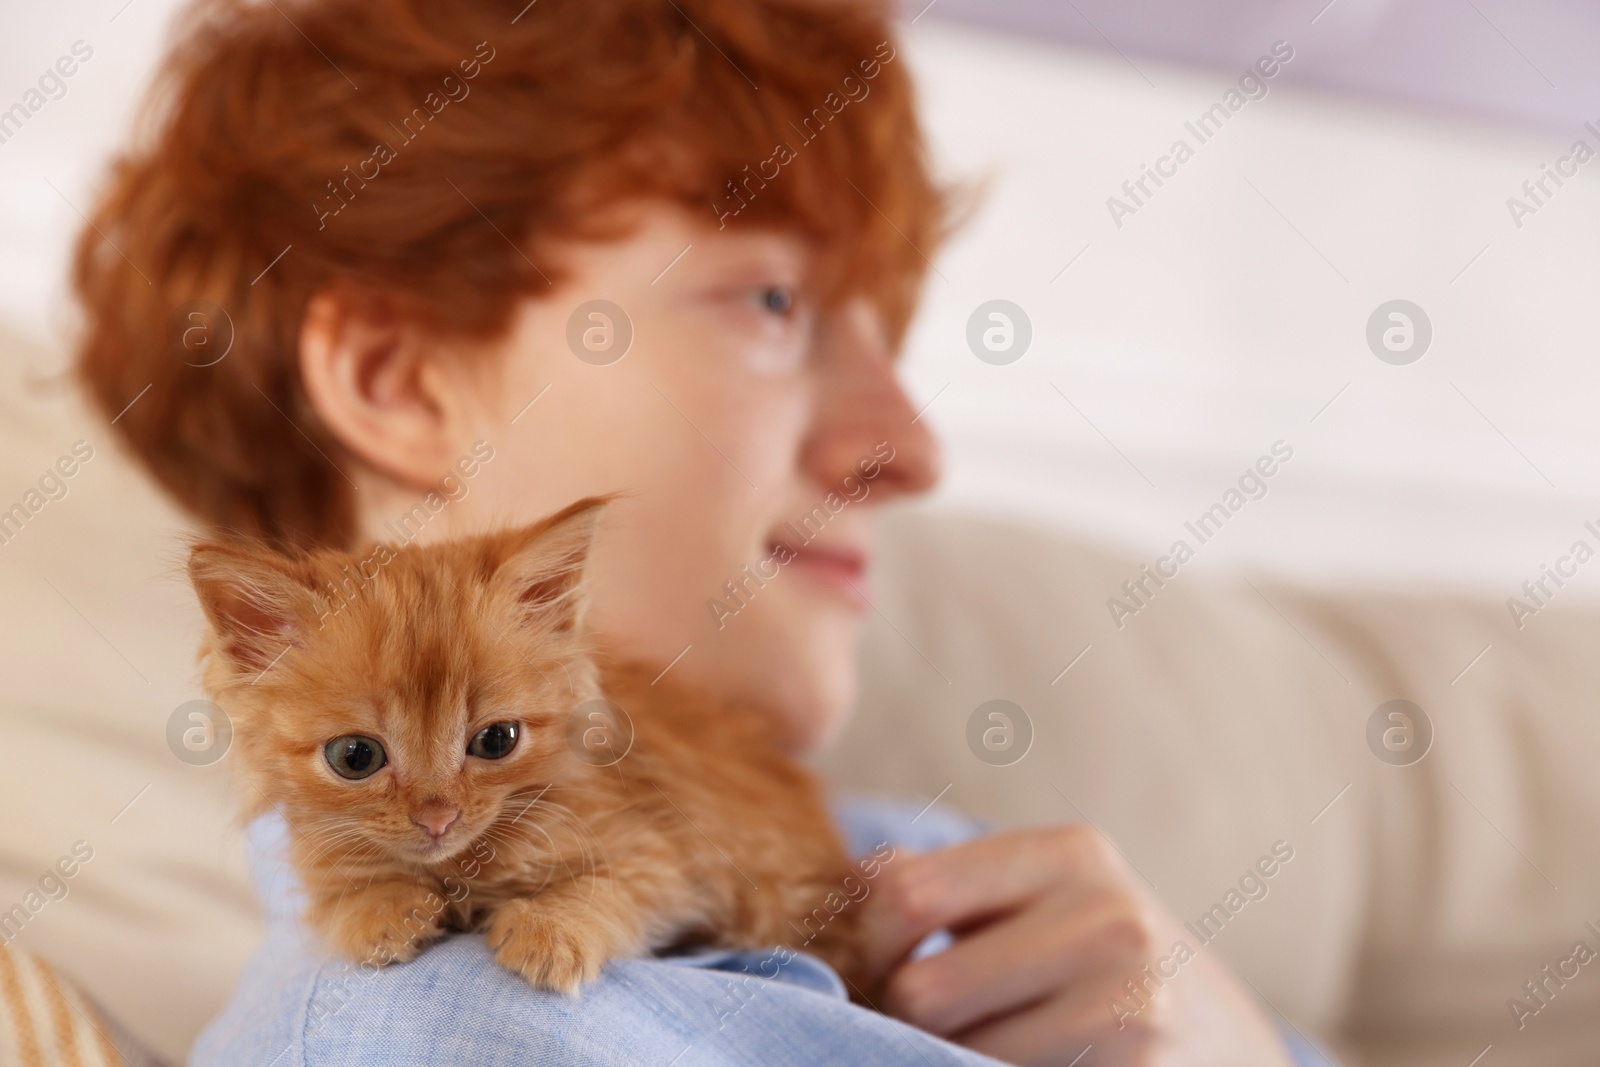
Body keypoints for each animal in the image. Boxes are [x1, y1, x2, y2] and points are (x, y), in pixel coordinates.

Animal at [187, 499, 876, 991]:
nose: (437, 817)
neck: (460, 868)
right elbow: (343, 897)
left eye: (496, 740)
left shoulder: (668, 856)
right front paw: (379, 914)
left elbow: (610, 890)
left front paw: (551, 932)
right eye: (354, 758)